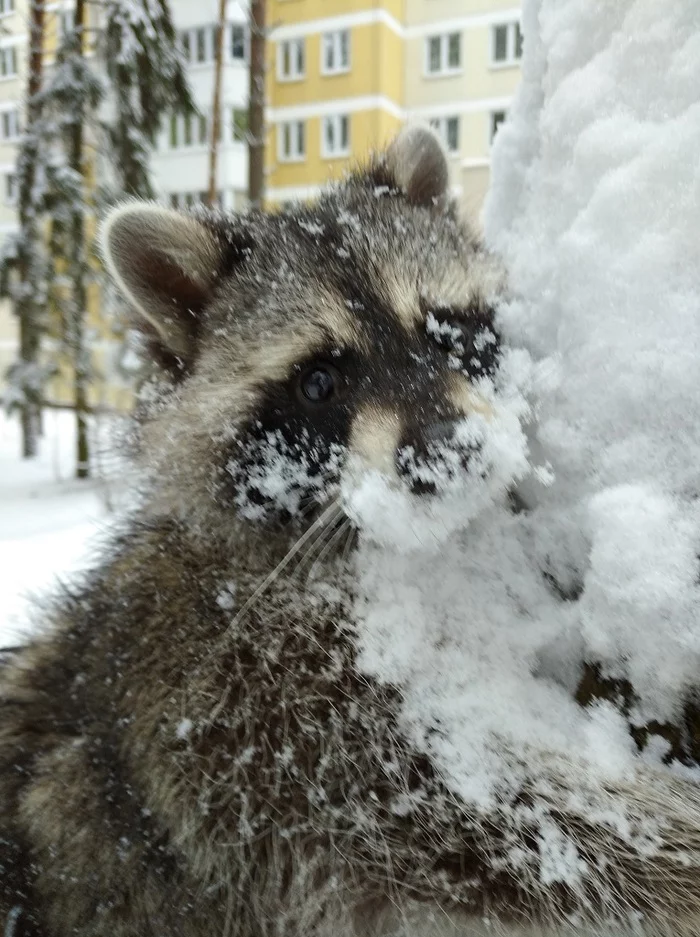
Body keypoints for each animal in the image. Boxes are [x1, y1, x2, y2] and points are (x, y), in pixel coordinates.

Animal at [1, 126, 700, 936]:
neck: (404, 547)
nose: (448, 450)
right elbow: (526, 828)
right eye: (319, 382)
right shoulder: (257, 717)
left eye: (445, 330)